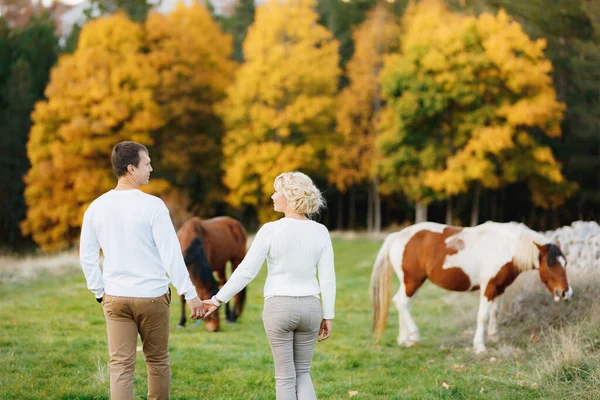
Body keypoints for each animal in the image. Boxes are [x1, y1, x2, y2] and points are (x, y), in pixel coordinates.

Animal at [370, 220, 572, 354]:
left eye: (566, 263)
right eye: (551, 265)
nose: (565, 292)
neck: (506, 247)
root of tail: (396, 236)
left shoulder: (500, 287)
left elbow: (495, 312)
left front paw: (494, 336)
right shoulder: (488, 287)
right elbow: (482, 316)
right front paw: (480, 346)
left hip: (412, 283)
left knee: (402, 303)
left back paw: (404, 340)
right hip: (412, 281)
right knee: (402, 303)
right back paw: (414, 336)